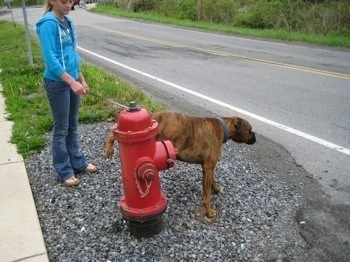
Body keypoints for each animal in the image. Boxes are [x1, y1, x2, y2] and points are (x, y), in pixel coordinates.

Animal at [103, 111, 254, 219]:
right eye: (250, 129)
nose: (255, 137)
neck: (224, 127)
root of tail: (153, 116)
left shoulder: (208, 168)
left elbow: (212, 182)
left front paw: (216, 189)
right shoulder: (209, 167)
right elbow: (206, 196)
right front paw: (209, 212)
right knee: (112, 135)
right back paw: (108, 150)